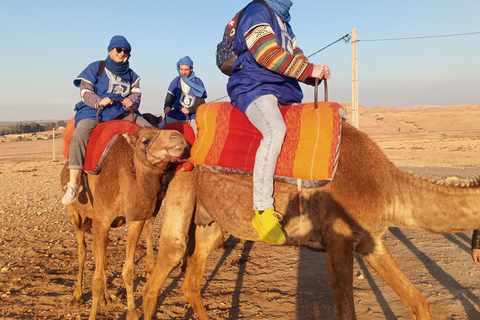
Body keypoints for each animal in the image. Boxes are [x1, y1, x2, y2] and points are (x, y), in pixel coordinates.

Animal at [60, 127, 188, 320]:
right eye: (145, 140)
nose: (178, 136)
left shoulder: (134, 221)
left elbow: (128, 271)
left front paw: (132, 312)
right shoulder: (102, 220)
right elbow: (97, 280)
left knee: (98, 257)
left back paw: (105, 297)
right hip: (75, 214)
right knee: (82, 249)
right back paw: (76, 297)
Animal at [141, 121, 480, 318]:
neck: (386, 187)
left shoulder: (370, 241)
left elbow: (418, 301)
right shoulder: (340, 240)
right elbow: (346, 313)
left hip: (210, 221)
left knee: (191, 281)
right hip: (181, 195)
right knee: (161, 271)